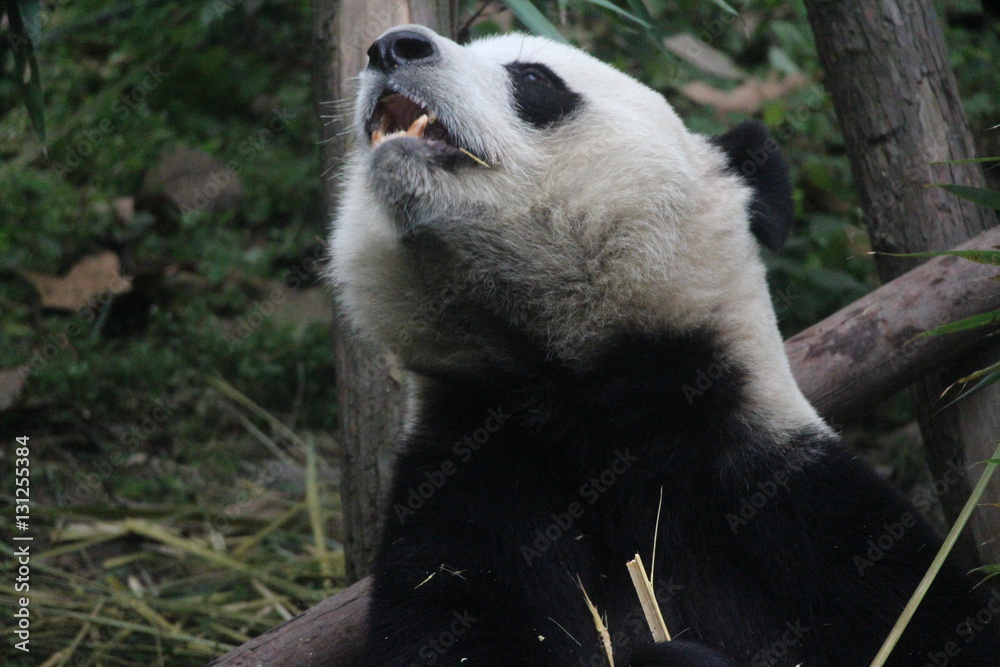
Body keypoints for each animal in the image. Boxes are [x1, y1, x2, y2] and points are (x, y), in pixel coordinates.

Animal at [329, 24, 1000, 666]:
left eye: (533, 77)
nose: (392, 46)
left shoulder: (798, 507)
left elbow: (929, 619)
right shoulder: (472, 485)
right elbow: (448, 628)